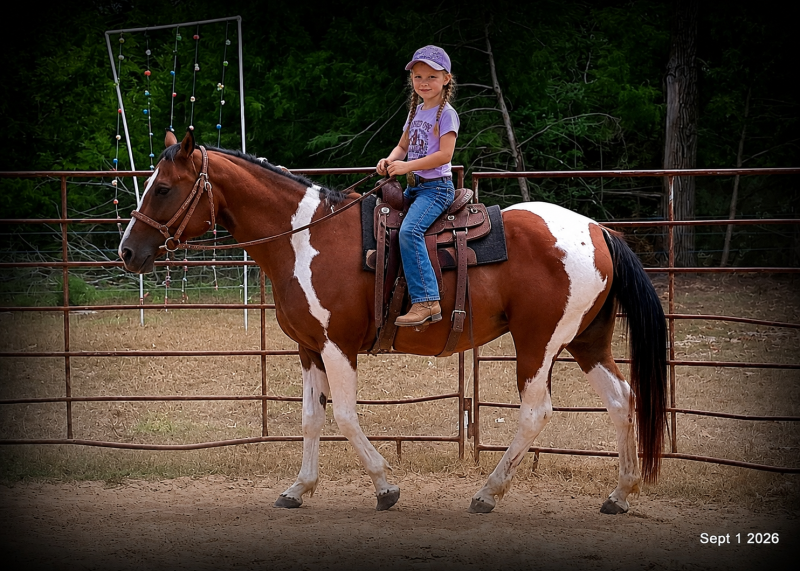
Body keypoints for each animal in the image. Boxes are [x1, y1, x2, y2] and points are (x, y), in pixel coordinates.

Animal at [119, 130, 667, 514]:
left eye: (162, 188)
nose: (127, 251)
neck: (304, 238)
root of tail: (598, 230)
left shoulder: (337, 345)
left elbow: (344, 415)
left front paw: (386, 486)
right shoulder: (309, 348)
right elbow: (312, 418)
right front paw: (299, 488)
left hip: (539, 343)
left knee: (536, 413)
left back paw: (488, 493)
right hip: (586, 341)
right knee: (622, 399)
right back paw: (620, 494)